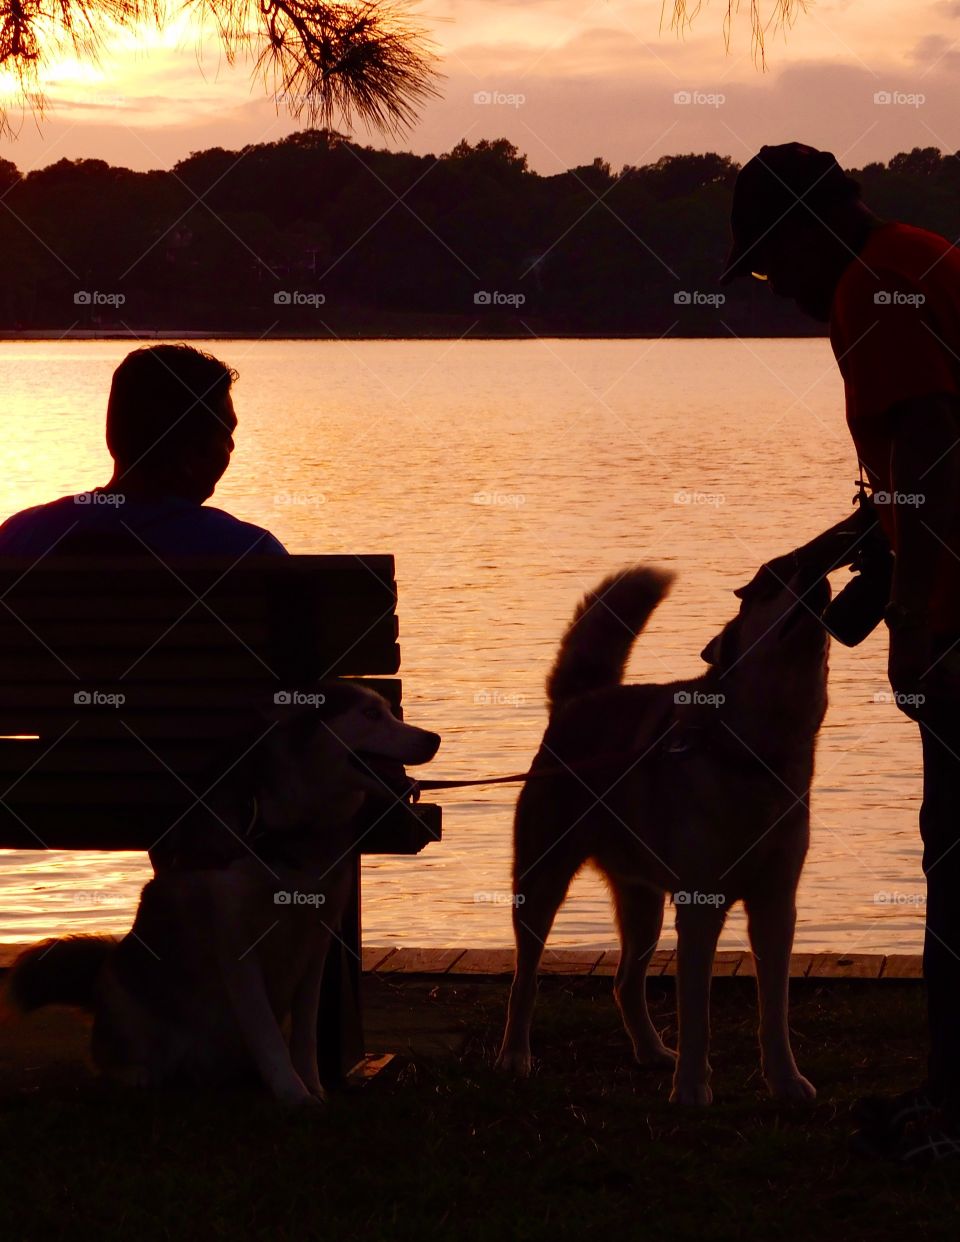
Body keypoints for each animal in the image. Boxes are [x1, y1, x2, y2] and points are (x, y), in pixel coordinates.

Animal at [5, 680, 439, 1107]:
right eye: (370, 714)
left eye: (388, 711)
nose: (433, 738)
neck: (290, 831)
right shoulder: (239, 943)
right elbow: (265, 1030)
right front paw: (292, 1092)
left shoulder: (318, 940)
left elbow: (304, 1033)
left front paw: (312, 1086)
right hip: (125, 991)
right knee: (108, 1056)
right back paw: (136, 1073)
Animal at [499, 568, 829, 1102]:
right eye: (769, 589)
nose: (812, 573)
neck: (756, 753)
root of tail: (579, 701)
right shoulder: (699, 909)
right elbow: (697, 1016)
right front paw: (693, 1090)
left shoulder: (776, 906)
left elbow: (774, 1012)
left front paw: (785, 1080)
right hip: (541, 883)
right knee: (524, 981)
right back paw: (514, 1056)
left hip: (643, 904)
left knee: (624, 982)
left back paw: (651, 1051)